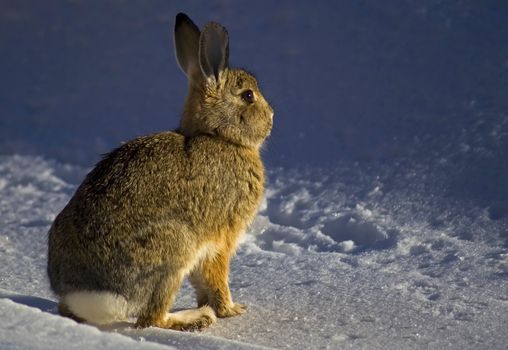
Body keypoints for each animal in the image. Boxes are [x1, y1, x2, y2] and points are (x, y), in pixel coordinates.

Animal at [46, 13, 274, 330]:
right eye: (248, 95)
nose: (272, 118)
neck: (218, 136)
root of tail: (90, 295)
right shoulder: (220, 240)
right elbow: (216, 278)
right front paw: (230, 310)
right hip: (173, 251)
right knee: (151, 318)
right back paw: (195, 318)